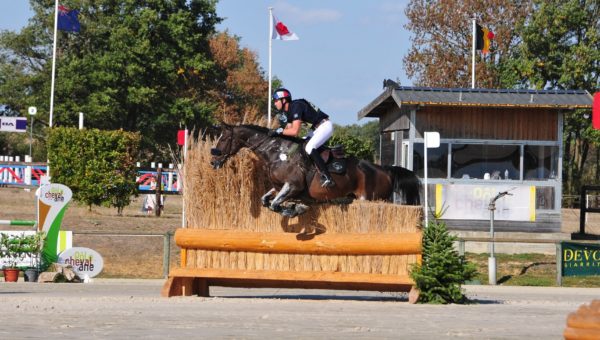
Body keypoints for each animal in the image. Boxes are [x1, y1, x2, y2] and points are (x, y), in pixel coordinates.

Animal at [211, 123, 422, 216]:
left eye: (223, 138)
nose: (213, 161)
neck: (277, 152)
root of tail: (384, 170)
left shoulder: (293, 186)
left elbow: (274, 204)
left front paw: (295, 209)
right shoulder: (280, 186)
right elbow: (266, 200)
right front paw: (293, 208)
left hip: (370, 198)